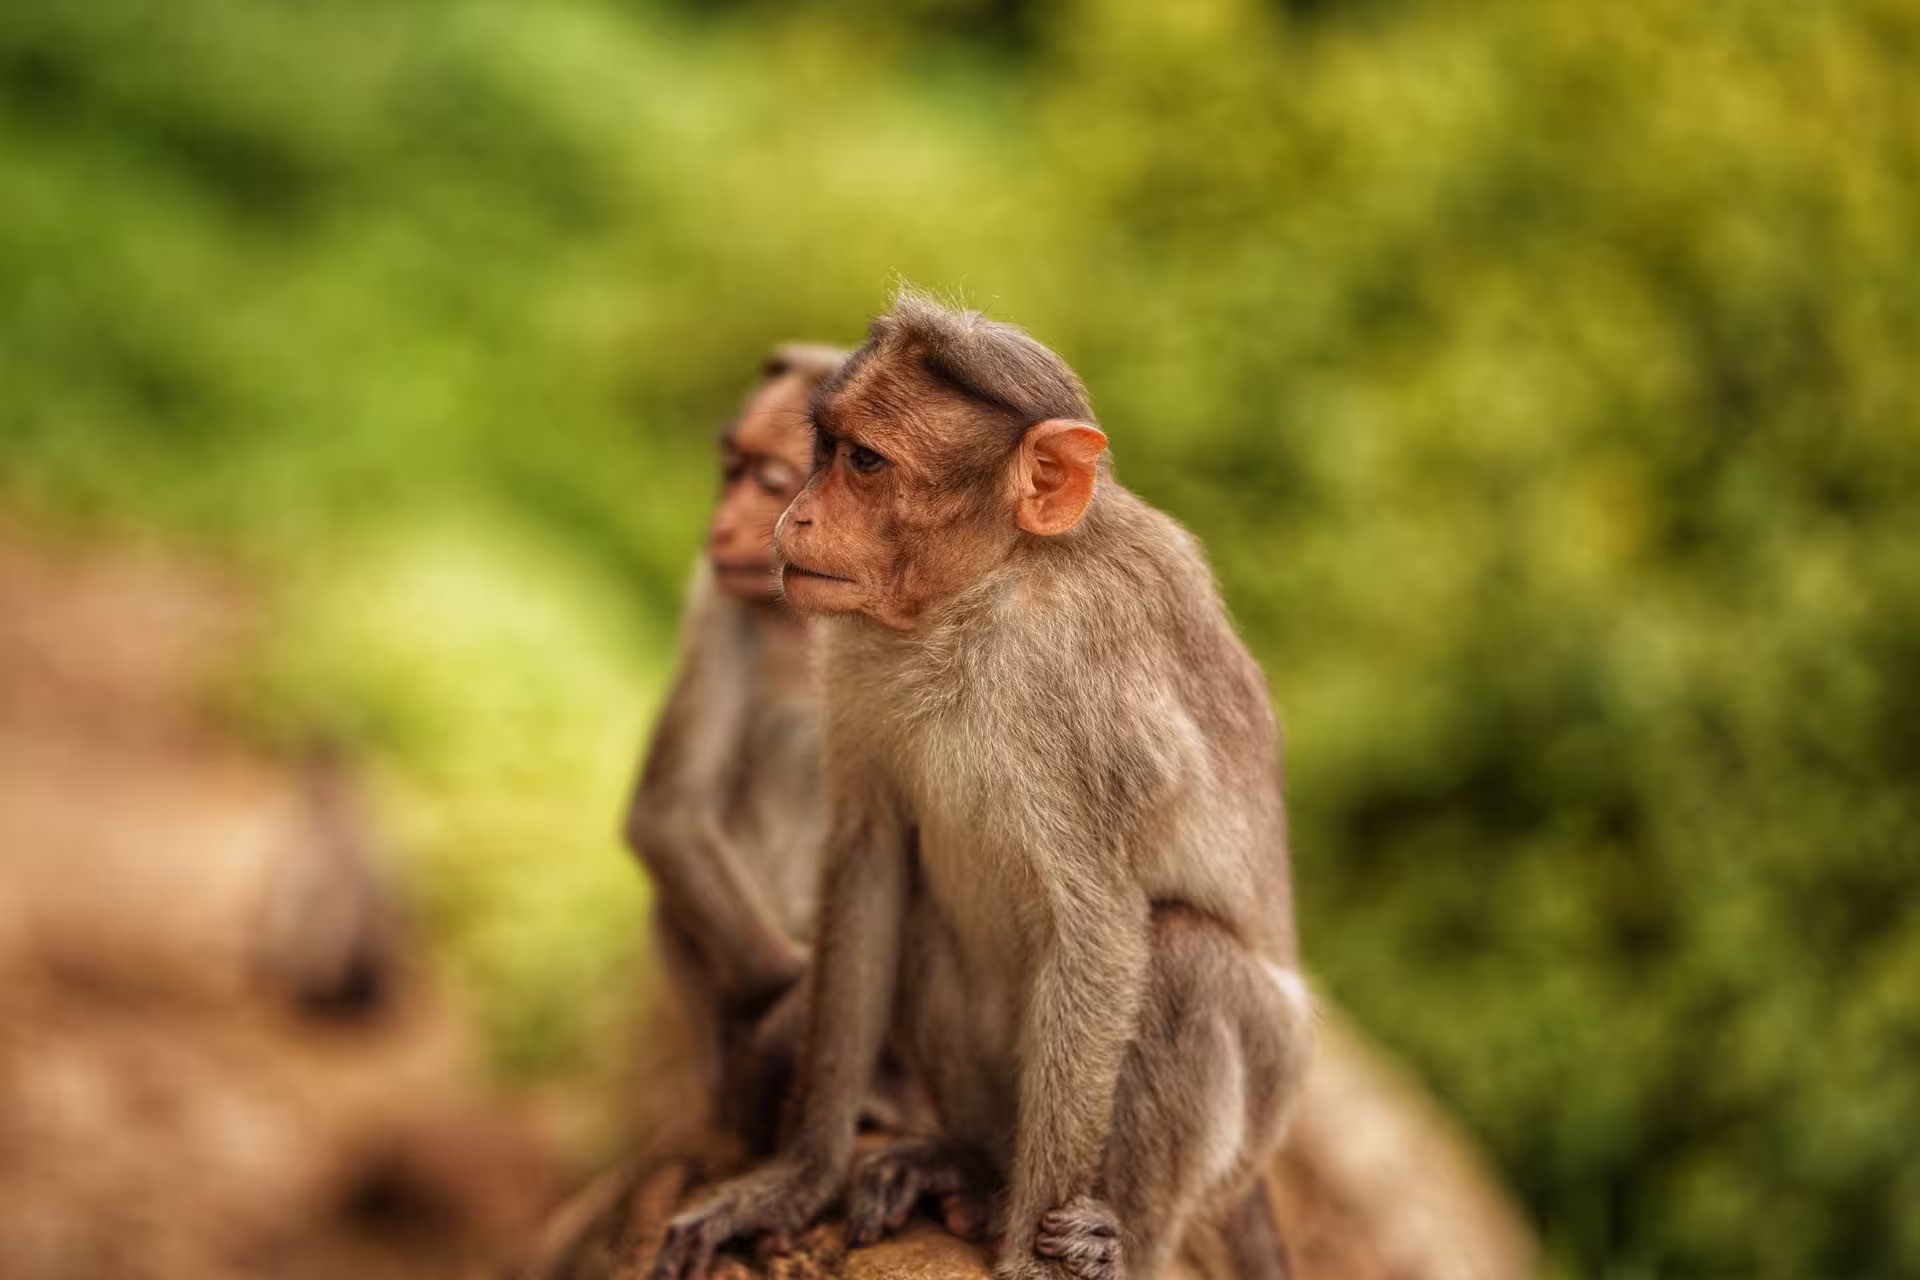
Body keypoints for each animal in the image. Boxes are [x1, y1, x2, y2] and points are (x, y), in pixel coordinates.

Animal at [649, 293, 1314, 1280]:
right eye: (823, 450)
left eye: (864, 461)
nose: (794, 521)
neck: (982, 593)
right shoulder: (854, 646)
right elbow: (871, 856)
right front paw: (796, 1179)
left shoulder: (1091, 691)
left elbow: (1101, 930)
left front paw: (1032, 1262)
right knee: (930, 900)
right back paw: (969, 1167)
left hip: (1262, 1102)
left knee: (1187, 958)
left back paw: (1112, 1240)